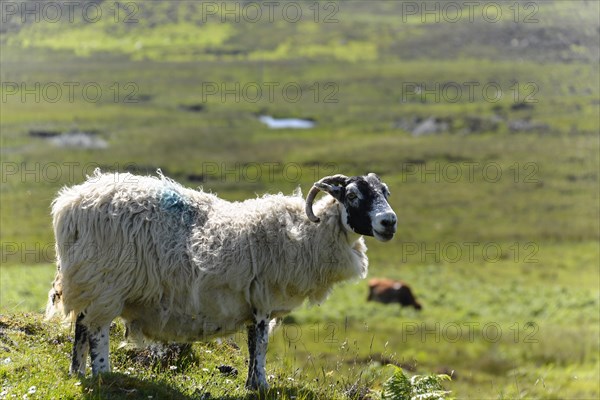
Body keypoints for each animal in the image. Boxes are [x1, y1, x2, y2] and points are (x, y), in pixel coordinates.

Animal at [44, 170, 396, 390]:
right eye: (353, 195)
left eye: (385, 192)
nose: (389, 222)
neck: (308, 232)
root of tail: (68, 205)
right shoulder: (262, 298)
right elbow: (260, 344)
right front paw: (260, 385)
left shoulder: (255, 301)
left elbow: (254, 343)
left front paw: (253, 383)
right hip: (105, 281)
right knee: (97, 331)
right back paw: (104, 374)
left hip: (87, 281)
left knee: (81, 325)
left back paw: (78, 372)